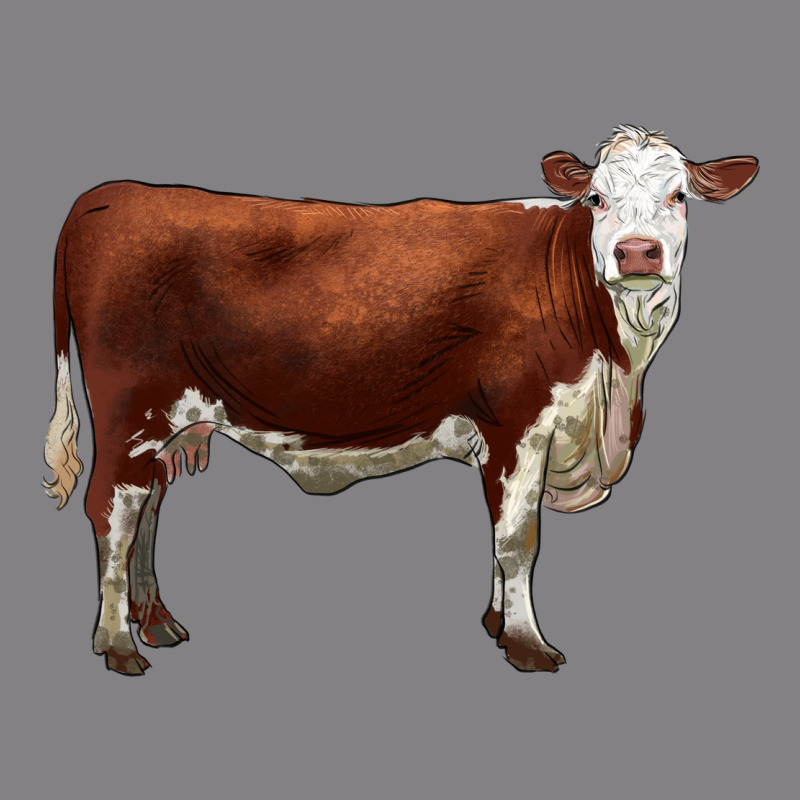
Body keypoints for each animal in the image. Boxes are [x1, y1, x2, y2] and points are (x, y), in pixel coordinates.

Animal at [44, 126, 758, 674]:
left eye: (679, 195)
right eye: (597, 197)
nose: (638, 253)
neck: (613, 381)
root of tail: (111, 194)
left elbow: (498, 531)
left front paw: (496, 622)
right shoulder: (519, 422)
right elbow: (518, 538)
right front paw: (526, 645)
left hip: (169, 423)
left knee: (148, 508)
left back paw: (156, 622)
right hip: (130, 411)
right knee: (112, 510)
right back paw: (118, 645)